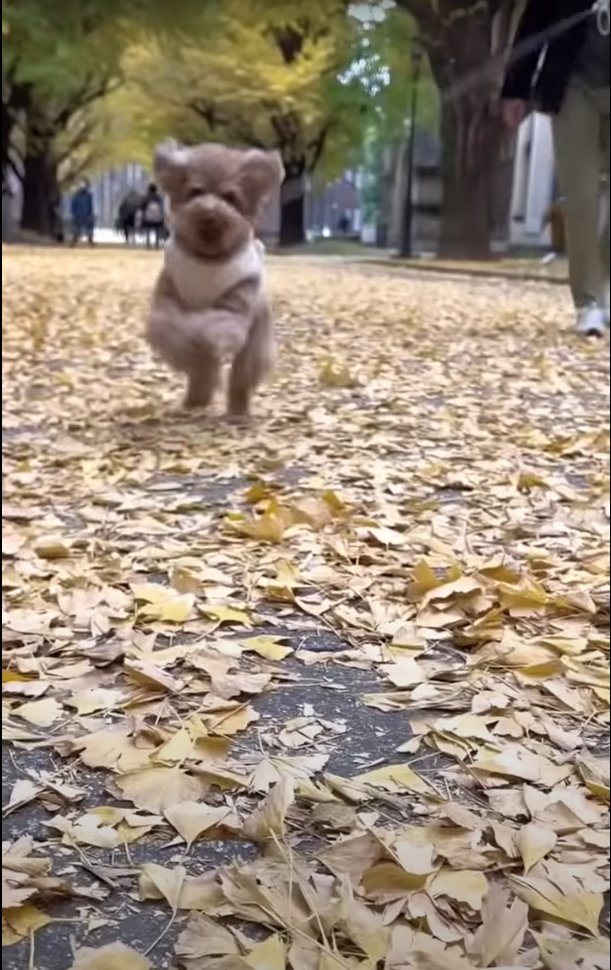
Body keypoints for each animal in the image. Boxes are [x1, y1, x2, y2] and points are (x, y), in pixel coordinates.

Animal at [147, 140, 286, 416]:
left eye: (230, 197)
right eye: (195, 192)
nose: (210, 209)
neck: (208, 259)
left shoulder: (237, 298)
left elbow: (220, 324)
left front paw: (204, 332)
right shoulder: (169, 293)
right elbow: (166, 326)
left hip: (255, 345)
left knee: (240, 377)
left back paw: (238, 409)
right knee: (202, 372)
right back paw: (195, 399)